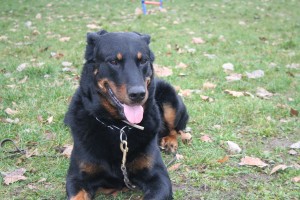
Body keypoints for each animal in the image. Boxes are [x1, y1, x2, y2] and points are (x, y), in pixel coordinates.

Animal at [64, 28, 189, 199]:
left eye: (143, 61)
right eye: (113, 62)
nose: (138, 94)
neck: (118, 127)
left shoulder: (159, 177)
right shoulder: (77, 178)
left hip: (171, 101)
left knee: (175, 129)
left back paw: (170, 141)